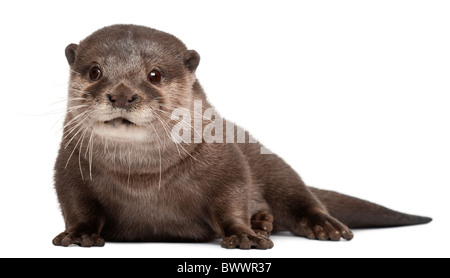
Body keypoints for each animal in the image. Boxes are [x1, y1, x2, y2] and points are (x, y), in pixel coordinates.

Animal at [53, 23, 432, 249]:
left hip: (275, 167)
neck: (142, 179)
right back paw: (265, 221)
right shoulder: (70, 167)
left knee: (302, 196)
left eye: (154, 74)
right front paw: (79, 233)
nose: (122, 94)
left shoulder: (227, 160)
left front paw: (244, 234)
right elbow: (76, 205)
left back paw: (316, 226)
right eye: (95, 71)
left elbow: (233, 197)